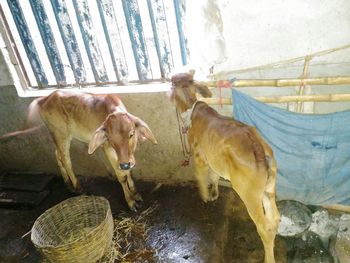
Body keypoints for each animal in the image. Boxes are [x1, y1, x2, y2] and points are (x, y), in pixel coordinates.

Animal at [1, 91, 157, 212]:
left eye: (131, 134)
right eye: (111, 139)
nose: (124, 164)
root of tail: (46, 98)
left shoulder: (127, 156)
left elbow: (129, 172)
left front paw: (136, 194)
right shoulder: (107, 148)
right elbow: (122, 176)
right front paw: (131, 201)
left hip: (59, 136)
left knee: (57, 155)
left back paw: (67, 183)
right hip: (61, 134)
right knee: (65, 159)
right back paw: (77, 186)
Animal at [168, 72, 280, 263]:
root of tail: (258, 146)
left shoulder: (199, 157)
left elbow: (201, 176)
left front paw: (205, 196)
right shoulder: (213, 159)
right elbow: (213, 176)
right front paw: (214, 194)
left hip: (250, 195)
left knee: (264, 227)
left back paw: (268, 259)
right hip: (269, 189)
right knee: (275, 219)